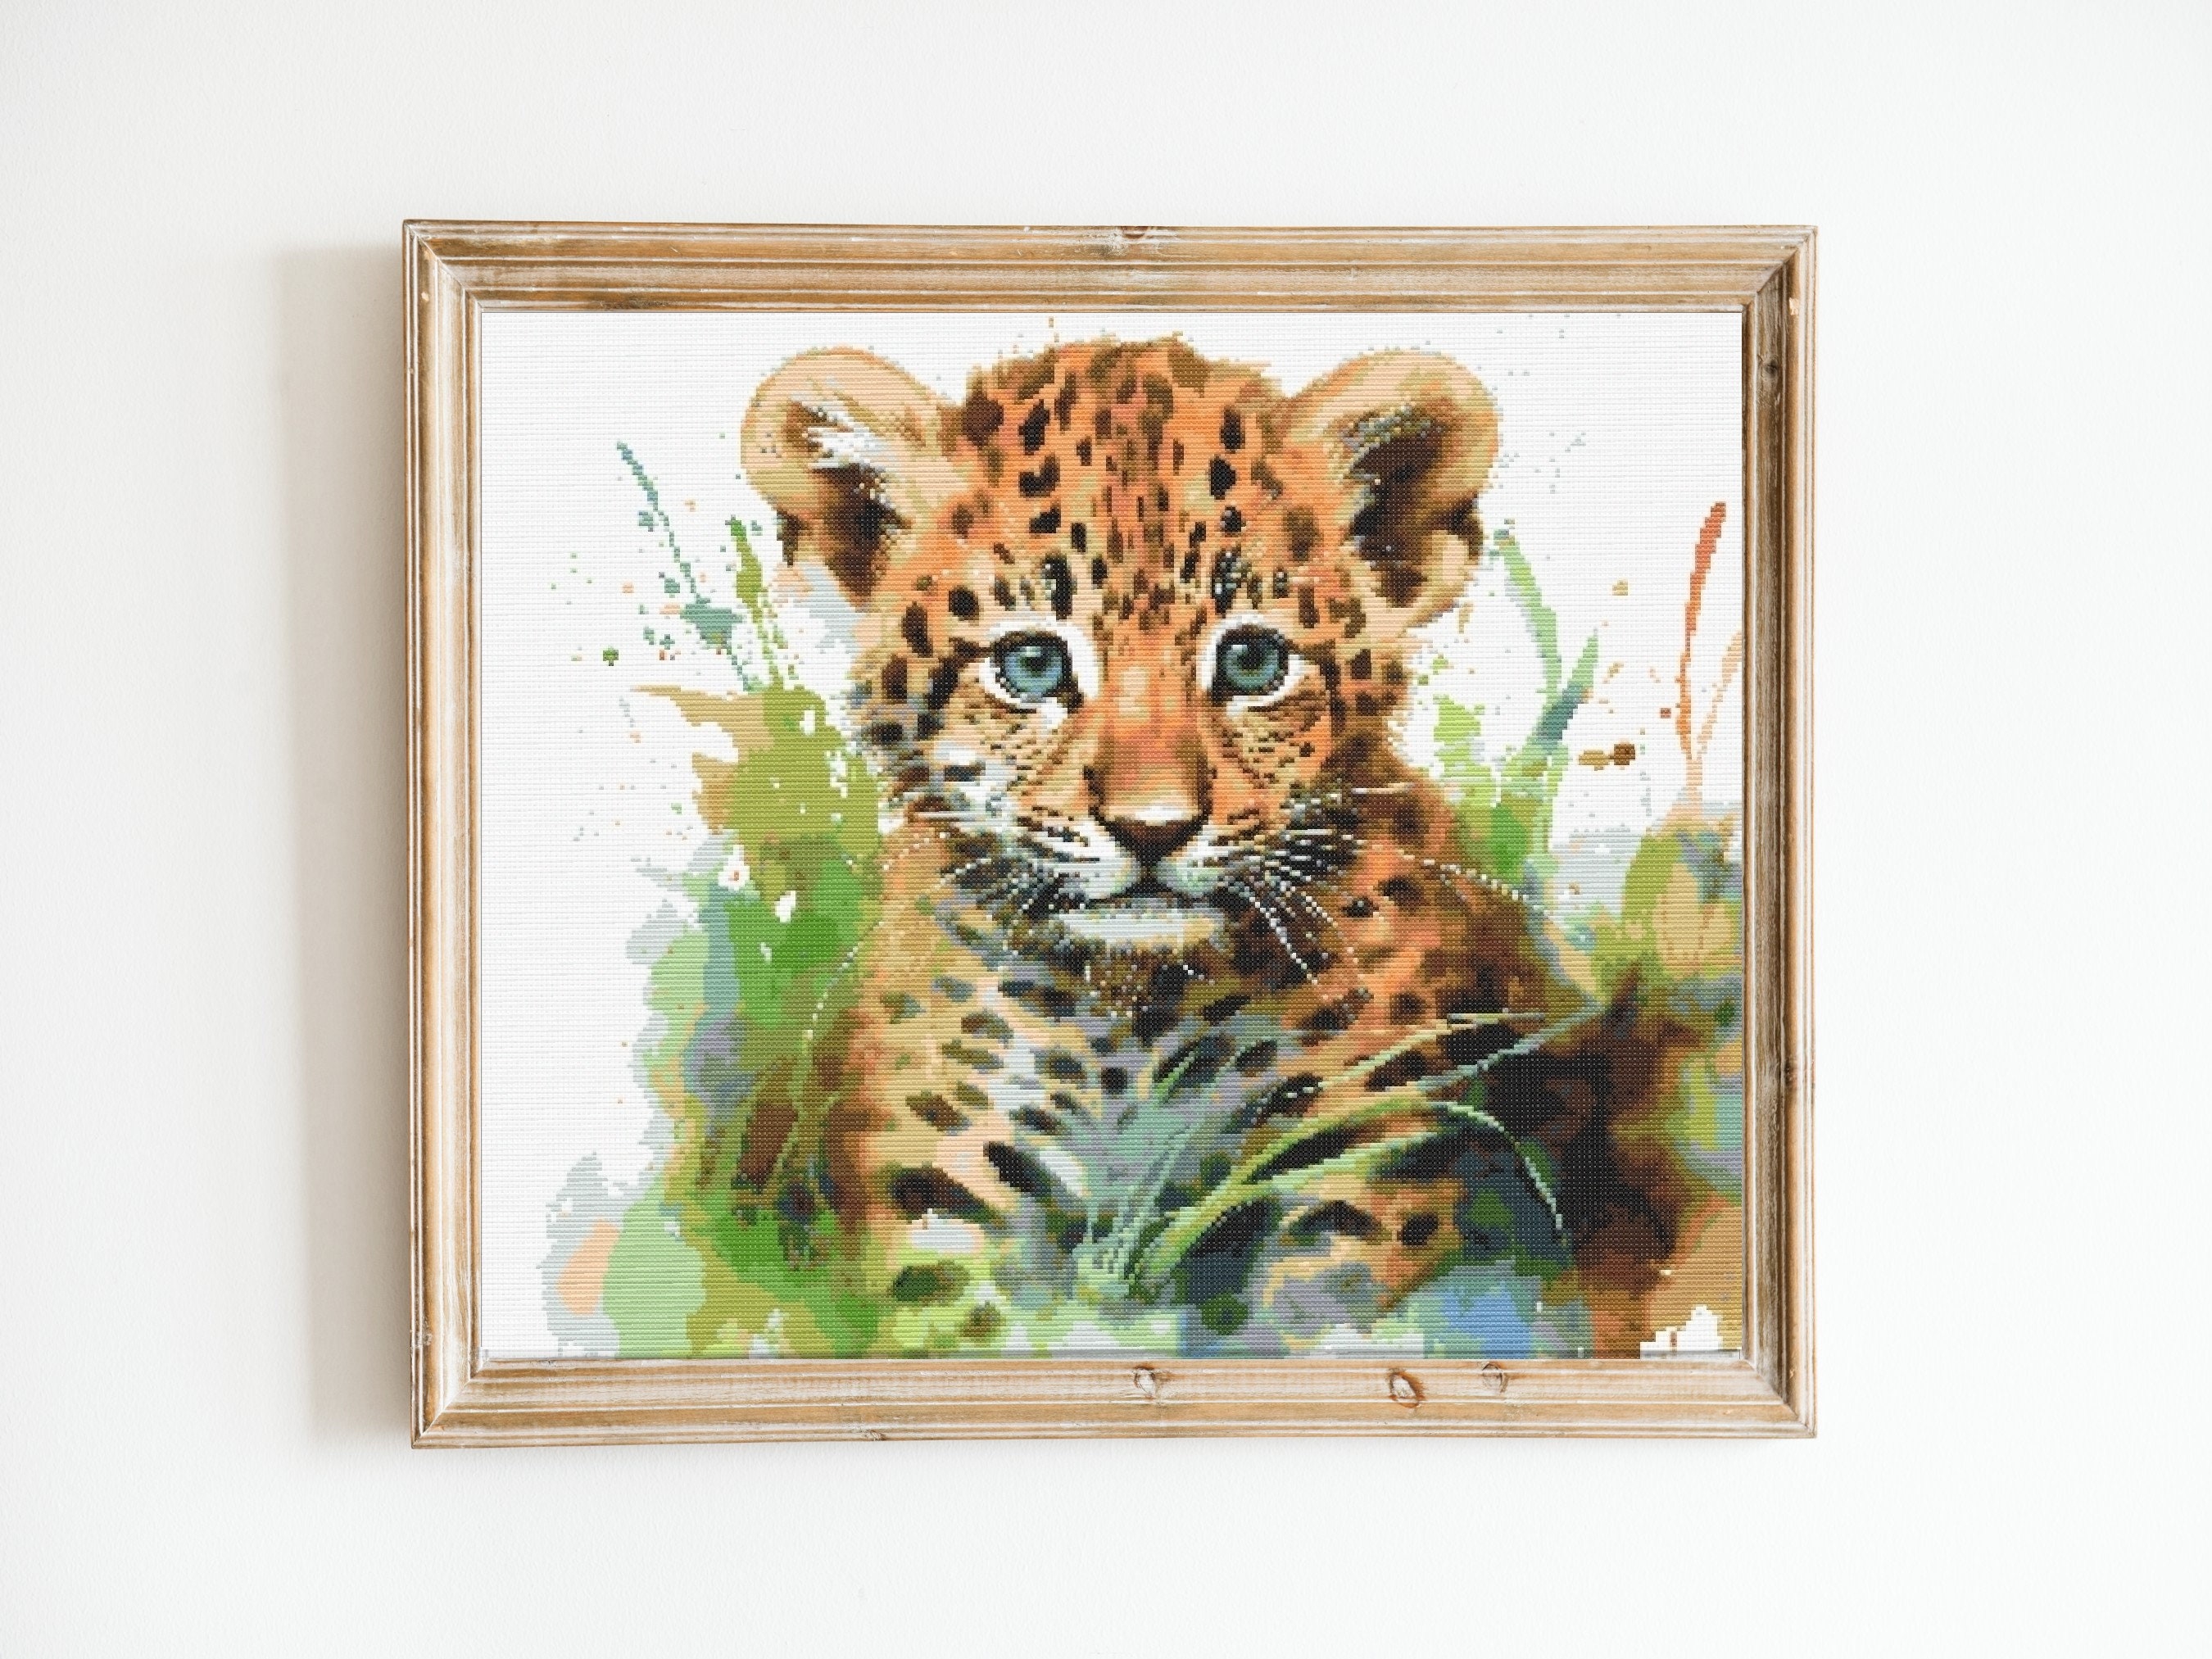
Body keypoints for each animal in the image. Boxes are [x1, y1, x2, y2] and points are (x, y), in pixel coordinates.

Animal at [736, 337, 1704, 1355]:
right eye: (1031, 665)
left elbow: (1318, 1317)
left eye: (1251, 662)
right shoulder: (944, 1171)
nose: (1152, 827)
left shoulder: (1366, 1160)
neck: (1129, 1011)